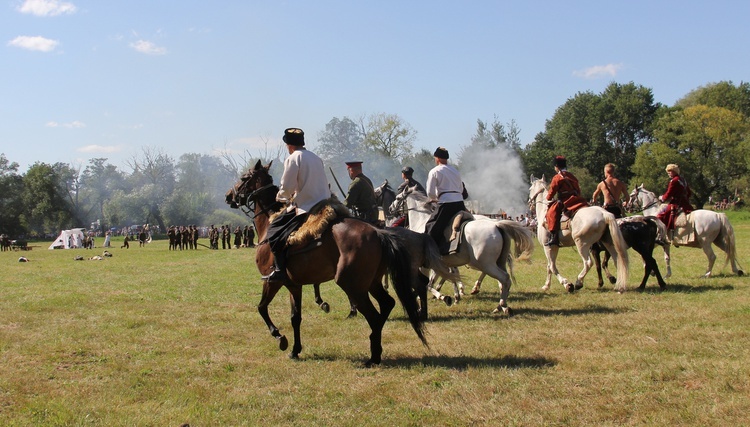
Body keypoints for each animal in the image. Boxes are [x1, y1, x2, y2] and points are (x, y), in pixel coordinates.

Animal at [226, 160, 462, 368]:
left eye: (244, 178)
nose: (229, 196)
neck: (270, 223)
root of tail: (379, 233)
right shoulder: (294, 285)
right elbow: (295, 317)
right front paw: (295, 349)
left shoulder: (273, 281)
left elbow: (262, 308)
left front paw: (279, 337)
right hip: (371, 282)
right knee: (389, 303)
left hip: (353, 283)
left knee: (379, 312)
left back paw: (374, 355)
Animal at [388, 186, 536, 316]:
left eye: (398, 198)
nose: (390, 209)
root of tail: (497, 224)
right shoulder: (441, 263)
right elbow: (444, 278)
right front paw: (452, 295)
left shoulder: (425, 264)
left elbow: (428, 283)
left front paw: (444, 297)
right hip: (497, 262)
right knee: (504, 281)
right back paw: (500, 306)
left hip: (484, 264)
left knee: (504, 278)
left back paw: (500, 304)